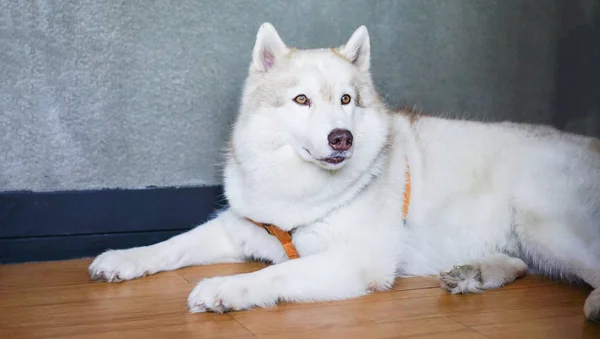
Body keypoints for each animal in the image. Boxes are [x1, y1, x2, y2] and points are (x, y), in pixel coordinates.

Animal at [88, 23, 600, 322]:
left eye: (347, 100)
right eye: (301, 100)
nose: (342, 139)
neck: (299, 188)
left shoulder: (357, 261)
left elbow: (279, 274)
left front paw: (226, 288)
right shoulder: (239, 228)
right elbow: (172, 245)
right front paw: (125, 258)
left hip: (544, 226)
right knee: (519, 264)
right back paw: (472, 273)